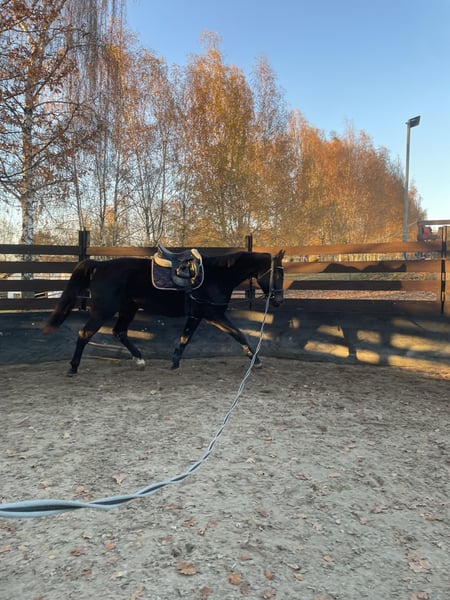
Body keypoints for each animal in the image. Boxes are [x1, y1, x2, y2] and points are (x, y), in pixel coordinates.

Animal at [42, 249, 285, 376]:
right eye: (278, 274)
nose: (279, 301)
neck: (217, 275)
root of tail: (100, 266)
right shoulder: (211, 315)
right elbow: (237, 334)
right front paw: (256, 360)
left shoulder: (201, 316)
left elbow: (187, 338)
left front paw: (175, 361)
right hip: (103, 311)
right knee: (85, 334)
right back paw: (73, 367)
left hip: (128, 308)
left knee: (119, 332)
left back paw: (140, 359)